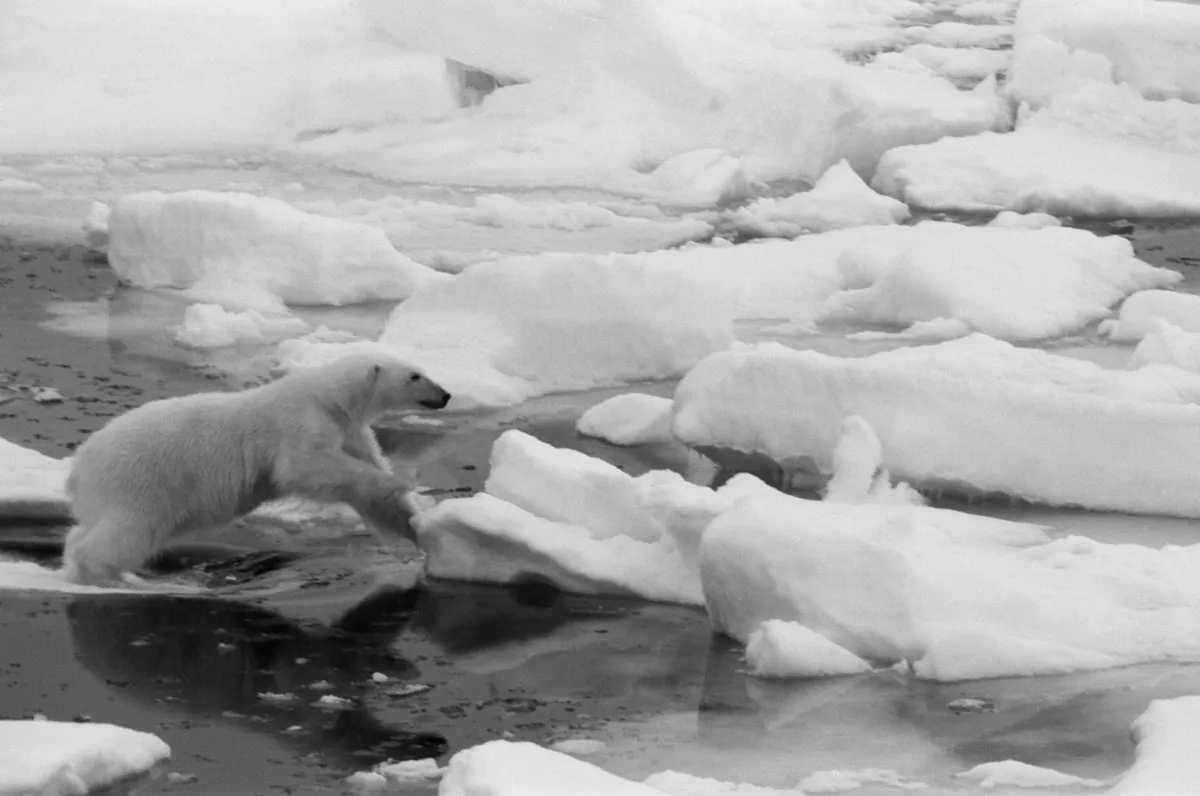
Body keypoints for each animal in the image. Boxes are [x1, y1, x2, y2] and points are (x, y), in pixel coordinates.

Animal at [62, 352, 451, 586]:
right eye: (415, 375)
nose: (446, 395)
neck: (329, 398)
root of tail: (78, 469)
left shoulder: (351, 430)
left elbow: (371, 495)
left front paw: (415, 527)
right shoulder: (300, 422)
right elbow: (304, 468)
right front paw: (402, 478)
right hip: (139, 482)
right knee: (126, 532)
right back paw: (106, 575)